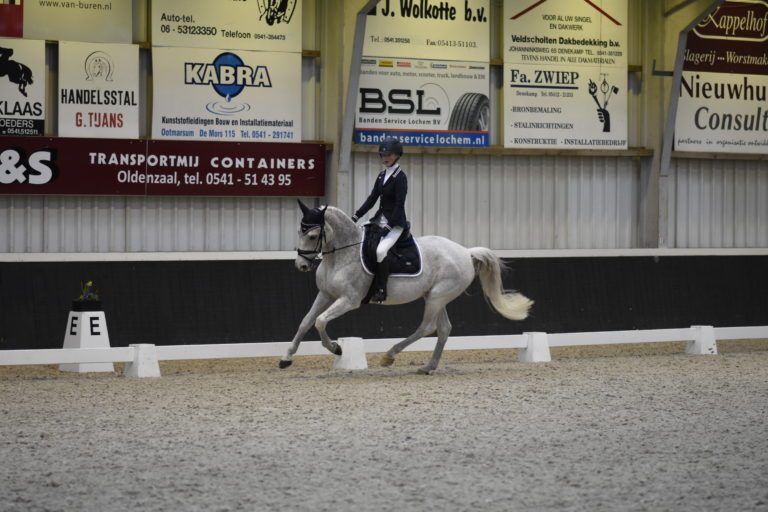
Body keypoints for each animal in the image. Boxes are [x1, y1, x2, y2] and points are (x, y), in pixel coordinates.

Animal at [284, 202, 536, 374]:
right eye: (299, 232)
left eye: (313, 235)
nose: (301, 265)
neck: (342, 255)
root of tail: (466, 252)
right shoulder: (326, 294)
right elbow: (306, 321)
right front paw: (286, 358)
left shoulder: (349, 300)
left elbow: (320, 322)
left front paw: (336, 349)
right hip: (436, 297)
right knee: (444, 328)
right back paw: (428, 366)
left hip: (436, 297)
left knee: (427, 327)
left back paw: (390, 355)